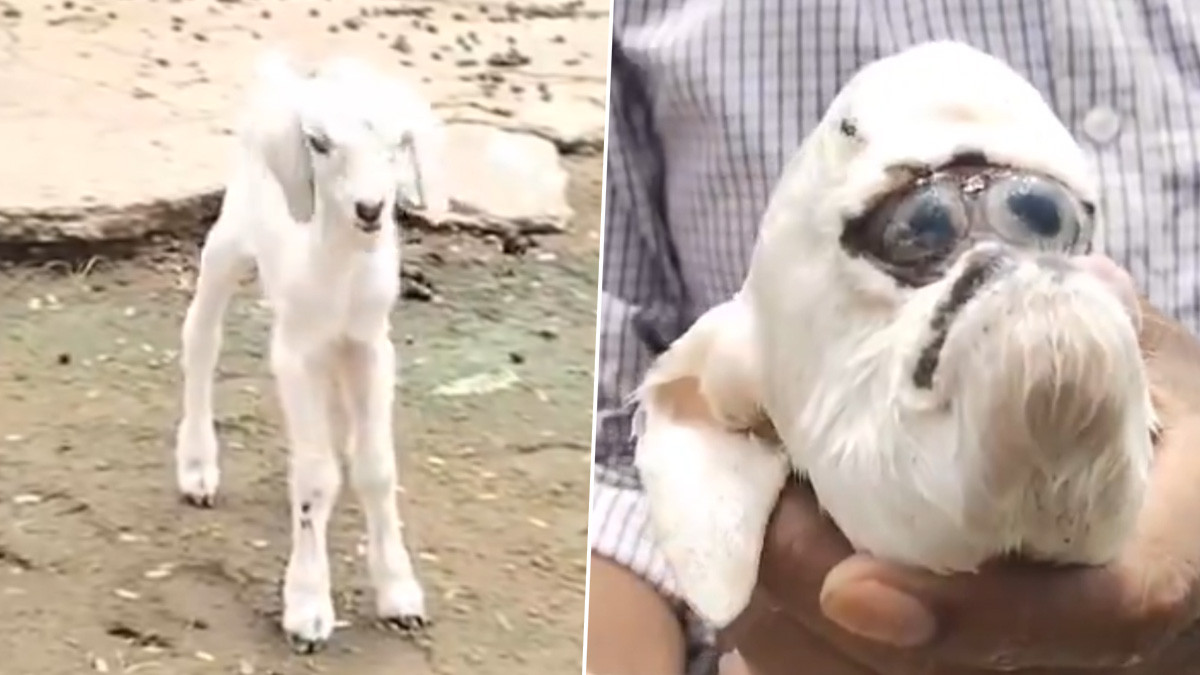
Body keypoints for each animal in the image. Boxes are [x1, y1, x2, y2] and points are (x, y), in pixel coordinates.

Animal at [172, 50, 449, 652]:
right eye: (319, 143)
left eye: (399, 143)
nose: (370, 209)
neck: (342, 270)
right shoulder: (295, 352)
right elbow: (317, 479)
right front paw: (307, 608)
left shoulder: (371, 345)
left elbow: (375, 467)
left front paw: (399, 594)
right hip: (230, 236)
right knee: (201, 337)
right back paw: (198, 466)